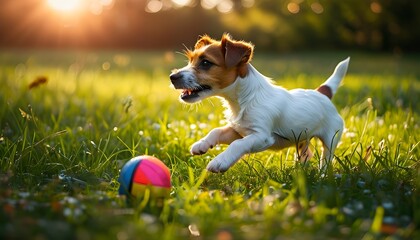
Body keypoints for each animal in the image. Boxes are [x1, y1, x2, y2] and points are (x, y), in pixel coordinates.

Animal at [169, 33, 350, 172]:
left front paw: (220, 161)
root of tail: (322, 92)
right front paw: (202, 144)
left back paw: (322, 175)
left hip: (331, 138)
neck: (243, 99)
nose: (172, 77)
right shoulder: (238, 130)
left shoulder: (261, 136)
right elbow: (217, 131)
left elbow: (237, 145)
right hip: (302, 138)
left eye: (206, 63)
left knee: (326, 160)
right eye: (190, 61)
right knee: (306, 154)